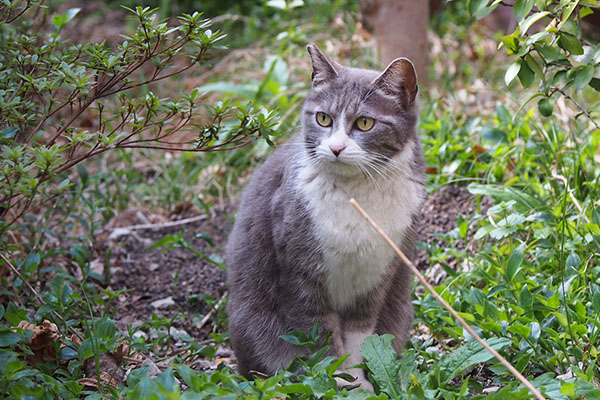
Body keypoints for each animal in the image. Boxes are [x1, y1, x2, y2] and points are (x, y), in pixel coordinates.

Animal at [226, 44, 426, 390]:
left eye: (364, 123)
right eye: (323, 118)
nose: (335, 148)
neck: (355, 194)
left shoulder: (378, 273)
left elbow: (361, 334)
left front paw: (360, 383)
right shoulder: (299, 270)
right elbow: (319, 333)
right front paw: (340, 384)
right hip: (253, 320)